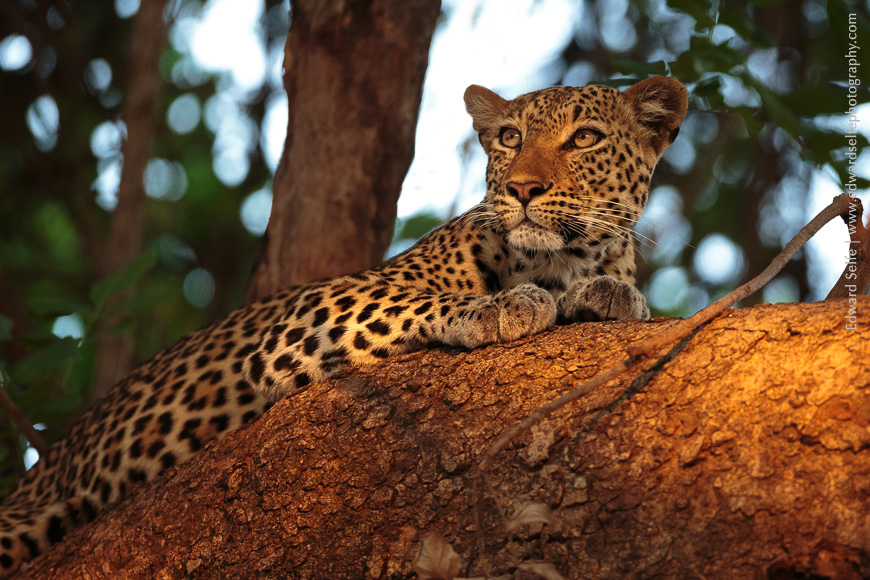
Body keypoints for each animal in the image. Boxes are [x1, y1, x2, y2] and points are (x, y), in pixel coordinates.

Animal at [0, 76, 687, 576]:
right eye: (511, 137)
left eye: (585, 139)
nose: (522, 189)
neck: (560, 261)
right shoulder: (309, 312)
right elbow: (410, 299)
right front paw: (498, 307)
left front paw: (611, 296)